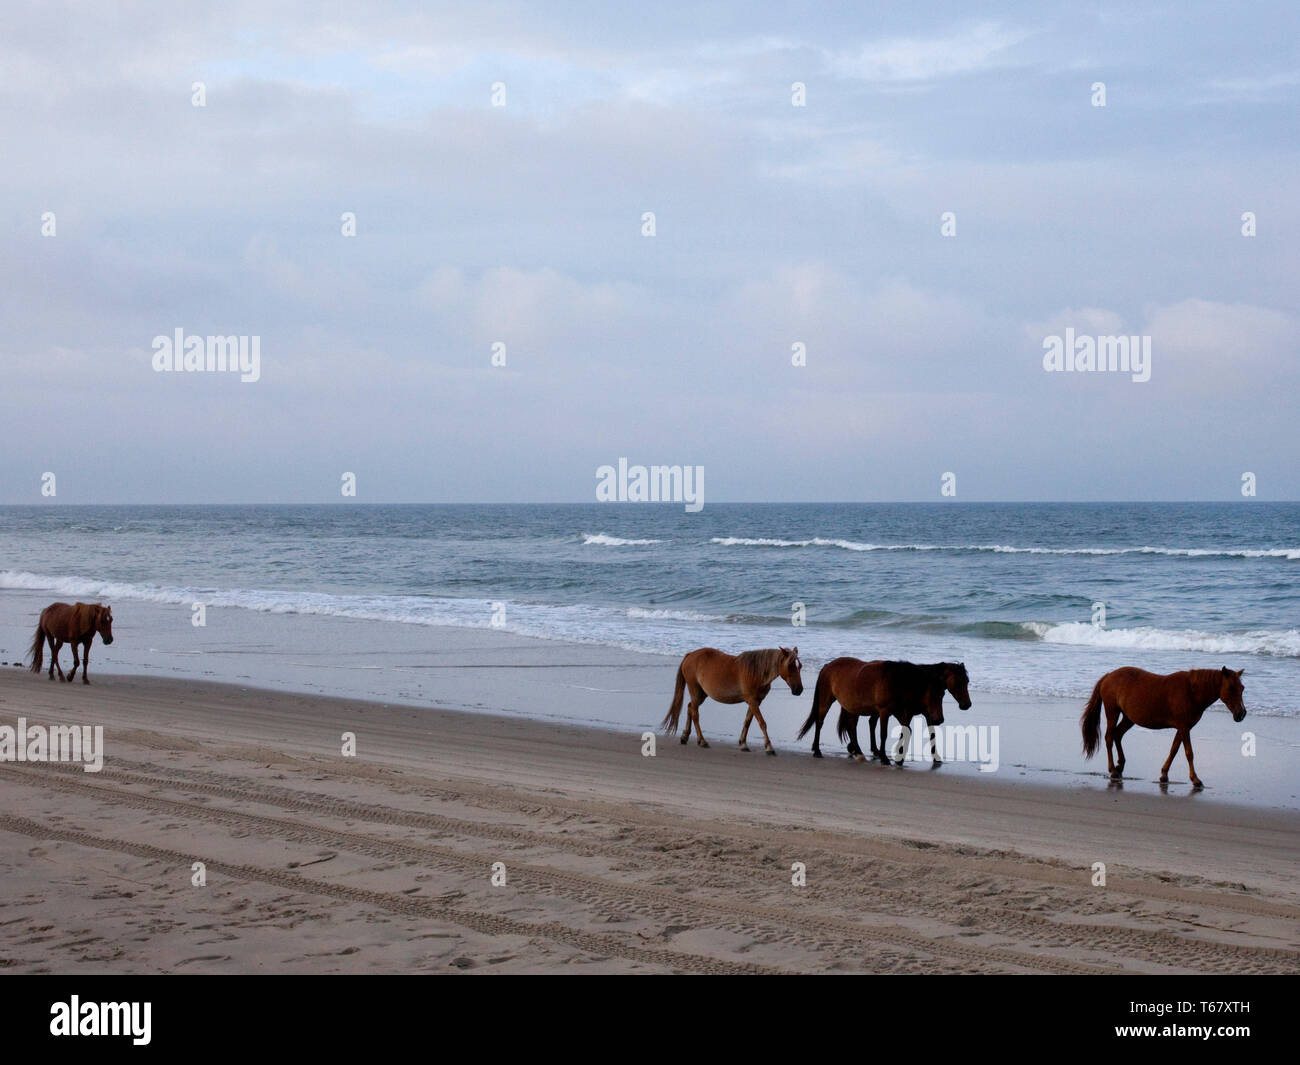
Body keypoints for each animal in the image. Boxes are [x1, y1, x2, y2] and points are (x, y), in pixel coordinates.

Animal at [660, 644, 800, 754]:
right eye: (790, 666)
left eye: (799, 666)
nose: (799, 689)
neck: (756, 672)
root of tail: (690, 655)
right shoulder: (752, 701)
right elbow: (762, 723)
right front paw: (769, 747)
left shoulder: (756, 702)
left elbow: (747, 721)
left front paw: (743, 744)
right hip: (695, 690)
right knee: (694, 713)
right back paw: (702, 741)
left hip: (701, 694)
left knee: (690, 707)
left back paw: (685, 737)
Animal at [795, 657, 972, 764]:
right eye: (959, 681)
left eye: (942, 694)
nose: (967, 705)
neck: (899, 682)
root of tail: (827, 666)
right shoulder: (887, 712)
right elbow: (884, 733)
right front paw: (886, 758)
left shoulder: (906, 713)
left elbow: (915, 732)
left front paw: (900, 757)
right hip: (827, 701)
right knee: (820, 722)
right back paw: (818, 750)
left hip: (852, 707)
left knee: (852, 727)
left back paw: (858, 751)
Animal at [1081, 665, 1242, 790]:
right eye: (1231, 687)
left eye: (1242, 688)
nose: (1241, 713)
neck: (1191, 692)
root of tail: (1108, 676)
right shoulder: (1184, 727)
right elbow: (1189, 753)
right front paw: (1196, 780)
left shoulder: (1183, 728)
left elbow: (1174, 750)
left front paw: (1164, 774)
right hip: (1112, 712)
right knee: (1109, 737)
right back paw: (1113, 770)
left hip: (1128, 718)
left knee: (1117, 735)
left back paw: (1120, 766)